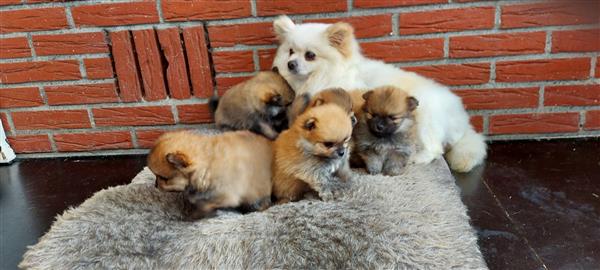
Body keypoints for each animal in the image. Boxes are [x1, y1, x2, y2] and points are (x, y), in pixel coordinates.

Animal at [272, 15, 488, 172]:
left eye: (310, 55)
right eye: (290, 52)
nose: (290, 64)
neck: (326, 74)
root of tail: (461, 117)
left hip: (424, 121)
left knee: (435, 149)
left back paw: (416, 158)